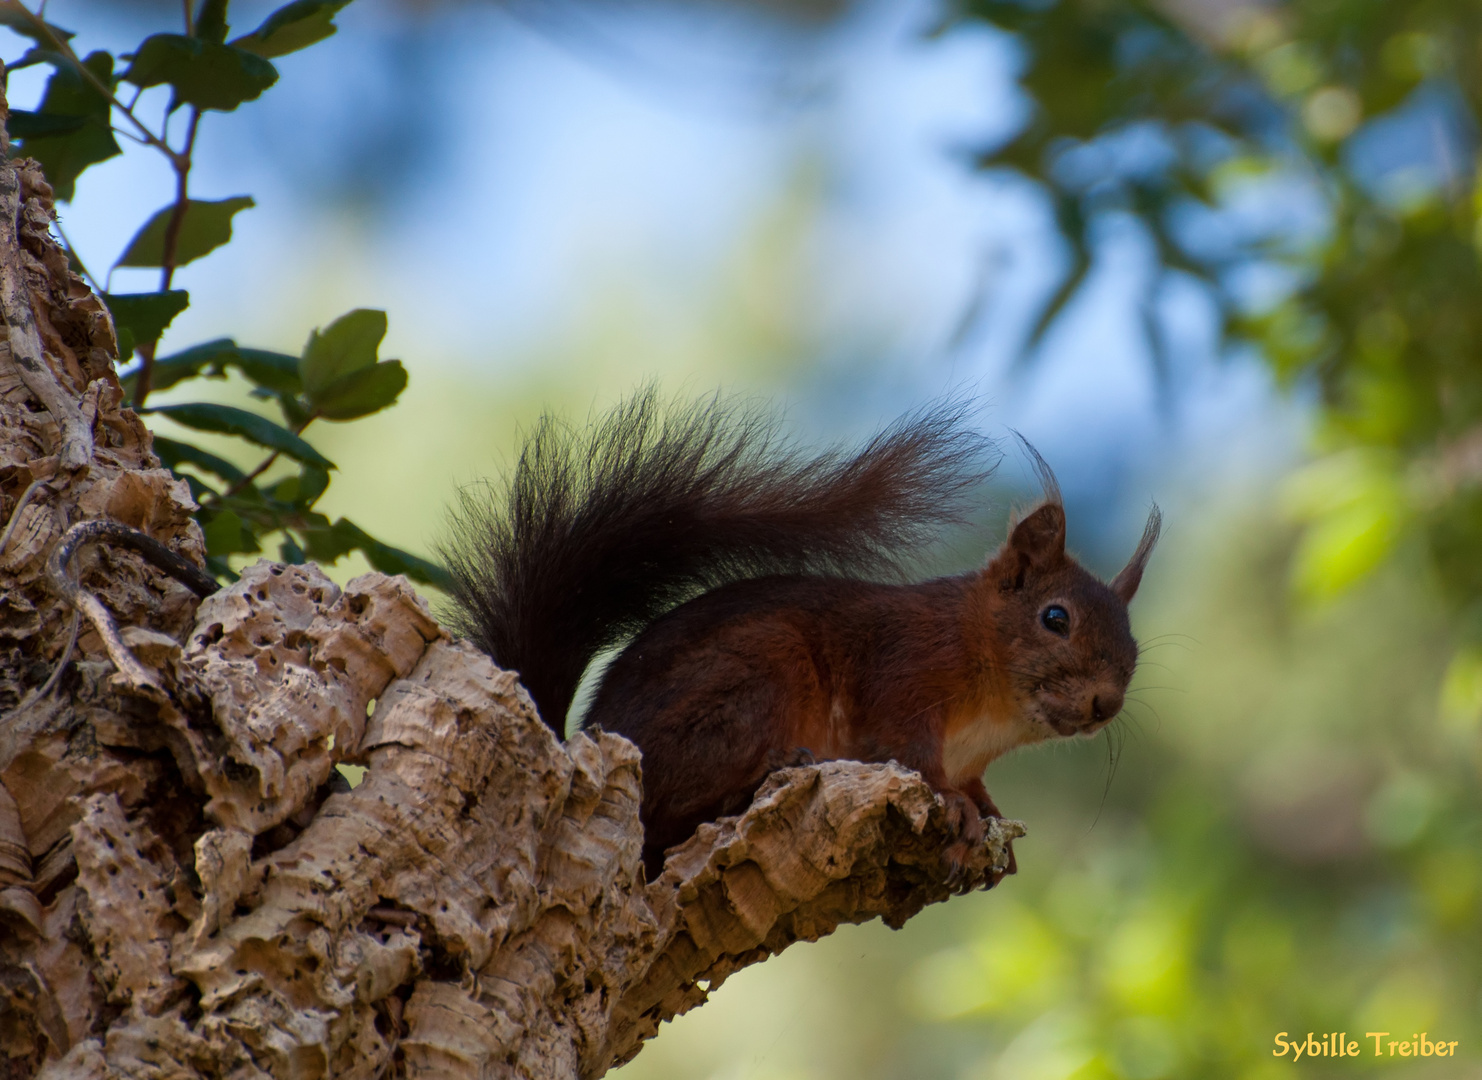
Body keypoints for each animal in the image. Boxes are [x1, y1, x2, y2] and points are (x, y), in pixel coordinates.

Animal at [444, 391, 1161, 882]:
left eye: (1134, 649)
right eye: (1055, 618)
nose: (1106, 703)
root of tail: (579, 742)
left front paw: (984, 814)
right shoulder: (902, 676)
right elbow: (910, 753)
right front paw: (955, 805)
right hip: (757, 672)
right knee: (665, 818)